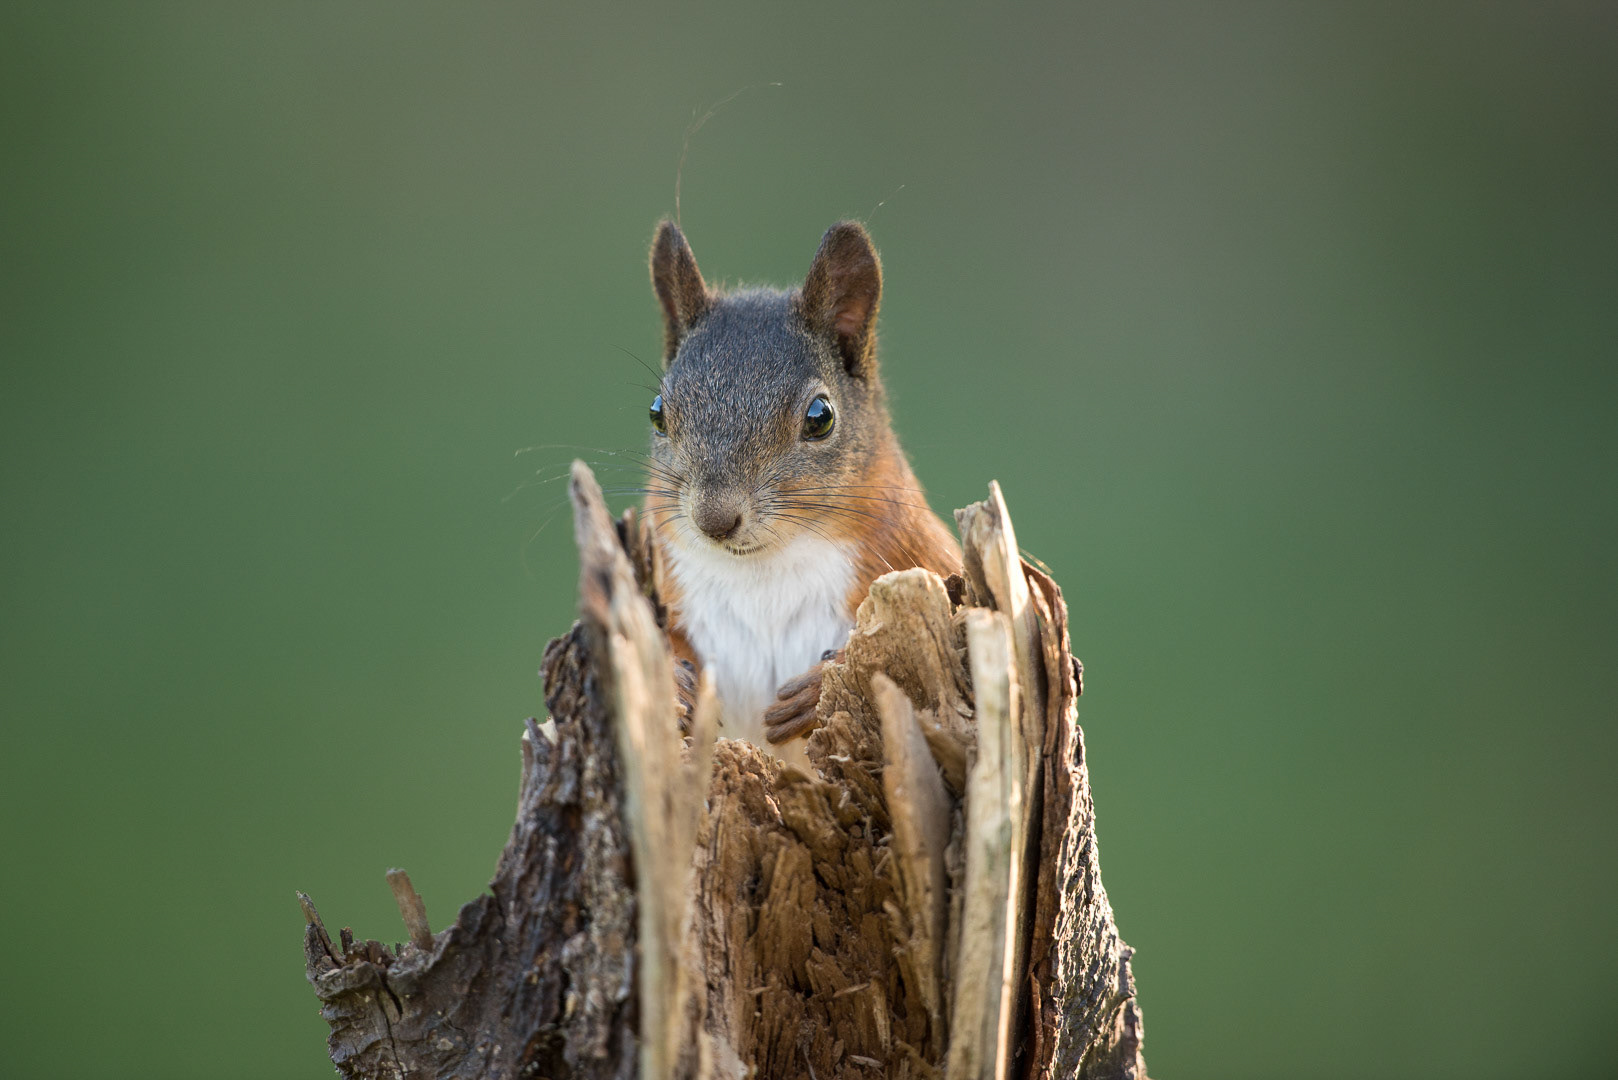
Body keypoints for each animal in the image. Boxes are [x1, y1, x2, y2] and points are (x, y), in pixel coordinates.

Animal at [642, 219, 961, 761]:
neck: (761, 572)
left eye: (820, 417)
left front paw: (816, 690)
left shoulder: (928, 559)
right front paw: (674, 683)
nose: (715, 519)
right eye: (658, 413)